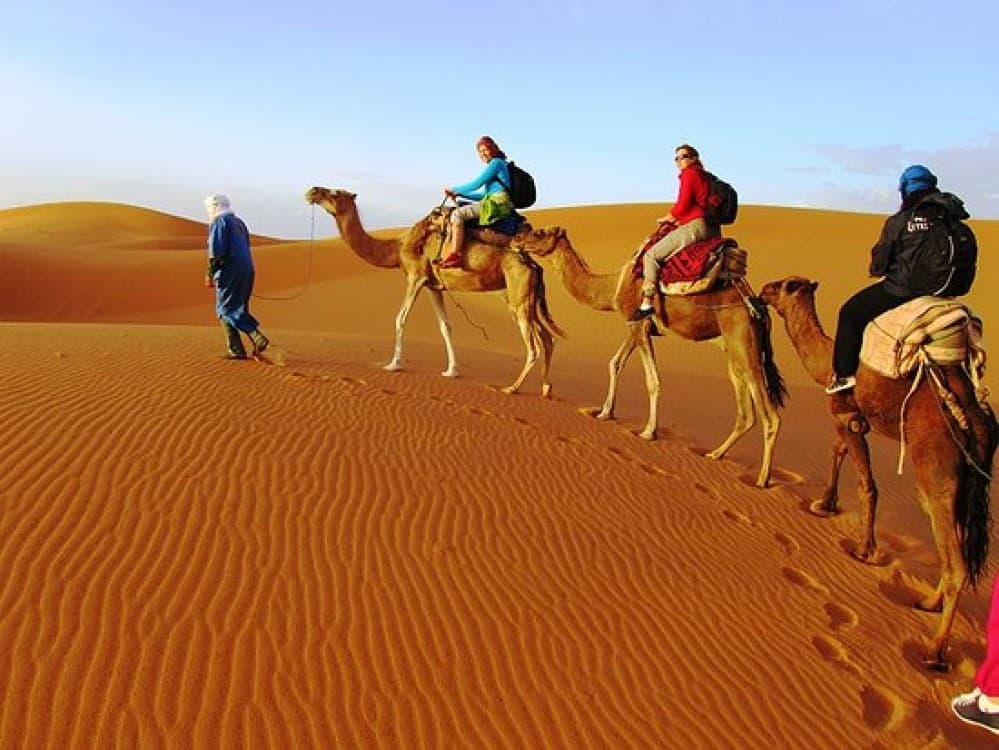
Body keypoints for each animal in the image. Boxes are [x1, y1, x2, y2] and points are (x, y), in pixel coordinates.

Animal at [304, 187, 564, 397]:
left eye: (335, 193)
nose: (312, 191)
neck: (398, 247)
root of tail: (533, 265)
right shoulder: (433, 285)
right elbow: (445, 326)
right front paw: (451, 371)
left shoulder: (415, 277)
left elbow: (400, 318)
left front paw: (393, 364)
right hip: (525, 298)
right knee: (548, 339)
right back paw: (546, 388)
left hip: (519, 297)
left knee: (534, 346)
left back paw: (512, 388)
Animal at [514, 226, 786, 488]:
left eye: (538, 232)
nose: (517, 239)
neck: (613, 286)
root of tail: (758, 308)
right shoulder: (634, 324)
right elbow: (615, 363)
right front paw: (605, 412)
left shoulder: (640, 326)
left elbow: (652, 380)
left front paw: (648, 431)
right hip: (734, 352)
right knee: (746, 412)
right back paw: (715, 454)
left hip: (745, 344)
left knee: (770, 414)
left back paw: (762, 479)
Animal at [759, 276, 996, 669]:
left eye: (783, 286)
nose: (762, 290)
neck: (826, 361)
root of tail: (974, 423)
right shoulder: (853, 420)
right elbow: (837, 451)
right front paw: (825, 504)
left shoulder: (847, 415)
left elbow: (867, 483)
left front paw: (864, 549)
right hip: (966, 480)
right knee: (951, 542)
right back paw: (928, 602)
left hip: (936, 467)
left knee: (956, 560)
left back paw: (934, 652)